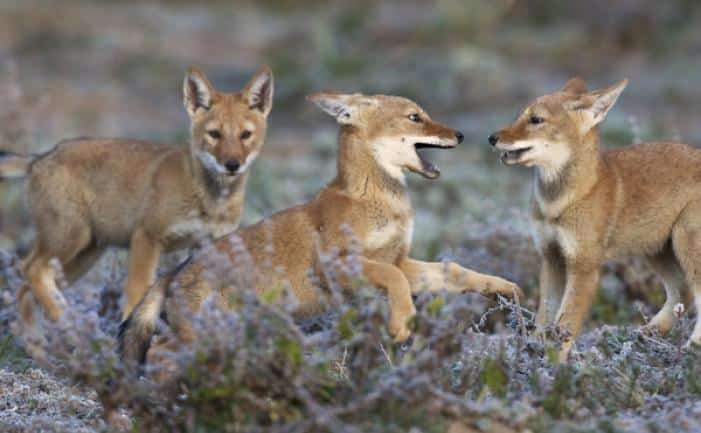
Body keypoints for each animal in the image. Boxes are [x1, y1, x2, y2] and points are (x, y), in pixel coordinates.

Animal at [0, 65, 273, 326]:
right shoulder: (146, 236)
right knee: (30, 269)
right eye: (214, 134)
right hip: (70, 240)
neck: (209, 199)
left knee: (26, 289)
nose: (232, 164)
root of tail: (40, 157)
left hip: (84, 254)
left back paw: (41, 340)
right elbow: (138, 295)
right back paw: (65, 319)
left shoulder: (208, 246)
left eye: (245, 135)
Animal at [119, 91, 523, 366]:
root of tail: (173, 274)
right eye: (415, 117)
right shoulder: (342, 265)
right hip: (204, 333)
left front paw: (506, 288)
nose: (461, 135)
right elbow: (396, 282)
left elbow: (455, 272)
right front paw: (401, 324)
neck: (377, 203)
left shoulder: (400, 261)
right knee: (158, 353)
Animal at [489, 77, 701, 361]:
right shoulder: (552, 258)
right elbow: (545, 319)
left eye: (536, 120)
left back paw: (691, 349)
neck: (561, 202)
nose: (492, 138)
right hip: (658, 251)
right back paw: (648, 335)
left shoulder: (584, 268)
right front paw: (530, 355)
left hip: (683, 245)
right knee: (683, 294)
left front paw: (554, 365)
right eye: (519, 117)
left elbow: (565, 324)